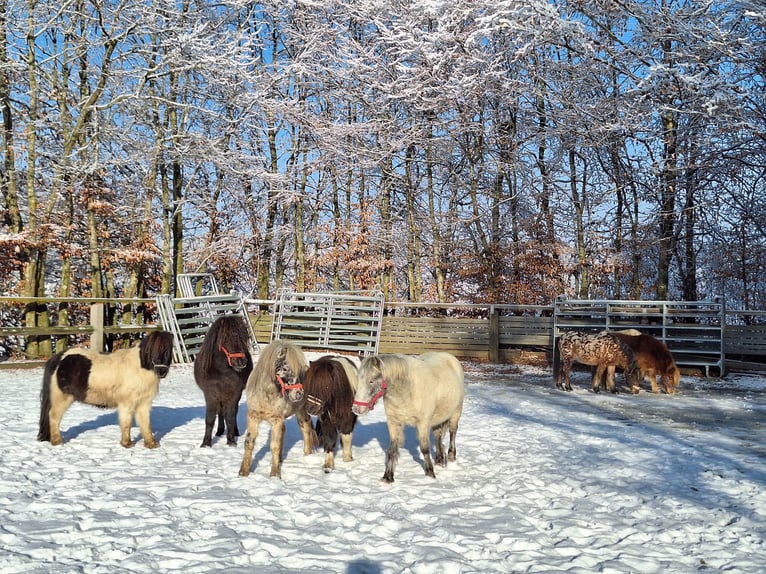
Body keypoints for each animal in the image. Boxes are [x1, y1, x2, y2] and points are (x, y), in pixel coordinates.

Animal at [38, 332, 175, 450]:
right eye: (152, 349)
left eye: (169, 349)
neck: (140, 368)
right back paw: (57, 442)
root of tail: (58, 359)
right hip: (62, 398)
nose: (162, 371)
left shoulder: (144, 403)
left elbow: (146, 424)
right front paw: (126, 444)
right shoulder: (126, 403)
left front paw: (151, 444)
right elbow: (126, 423)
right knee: (53, 417)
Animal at [194, 316, 254, 450]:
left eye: (244, 337)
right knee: (221, 412)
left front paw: (231, 441)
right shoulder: (210, 395)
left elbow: (230, 417)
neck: (221, 372)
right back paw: (220, 431)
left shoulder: (233, 395)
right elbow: (210, 419)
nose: (241, 362)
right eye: (225, 338)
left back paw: (234, 432)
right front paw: (206, 443)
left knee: (232, 412)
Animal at [237, 342, 316, 482]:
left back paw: (307, 456)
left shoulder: (276, 420)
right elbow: (249, 443)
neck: (266, 394)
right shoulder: (253, 417)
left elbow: (274, 446)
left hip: (301, 412)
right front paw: (243, 472)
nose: (299, 394)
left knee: (306, 431)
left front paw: (274, 475)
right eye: (284, 369)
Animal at [352, 354, 464, 484]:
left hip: (456, 412)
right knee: (437, 435)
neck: (406, 390)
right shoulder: (393, 423)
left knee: (452, 432)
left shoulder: (423, 424)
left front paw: (430, 473)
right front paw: (388, 477)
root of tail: (450, 358)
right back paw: (440, 460)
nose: (356, 409)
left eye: (371, 380)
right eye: (359, 379)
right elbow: (392, 450)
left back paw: (451, 456)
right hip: (437, 417)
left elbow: (424, 448)